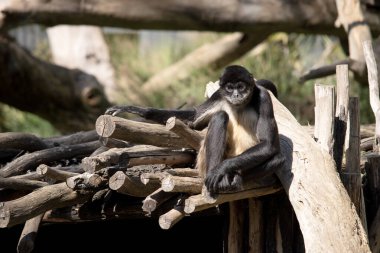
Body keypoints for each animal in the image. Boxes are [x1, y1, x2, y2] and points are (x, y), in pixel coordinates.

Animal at [105, 64, 284, 194]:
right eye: (229, 88)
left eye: (240, 87)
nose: (236, 95)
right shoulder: (218, 95)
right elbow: (193, 117)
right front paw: (137, 110)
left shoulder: (263, 97)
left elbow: (269, 145)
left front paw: (221, 169)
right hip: (203, 160)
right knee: (220, 116)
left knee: (278, 157)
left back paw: (233, 176)